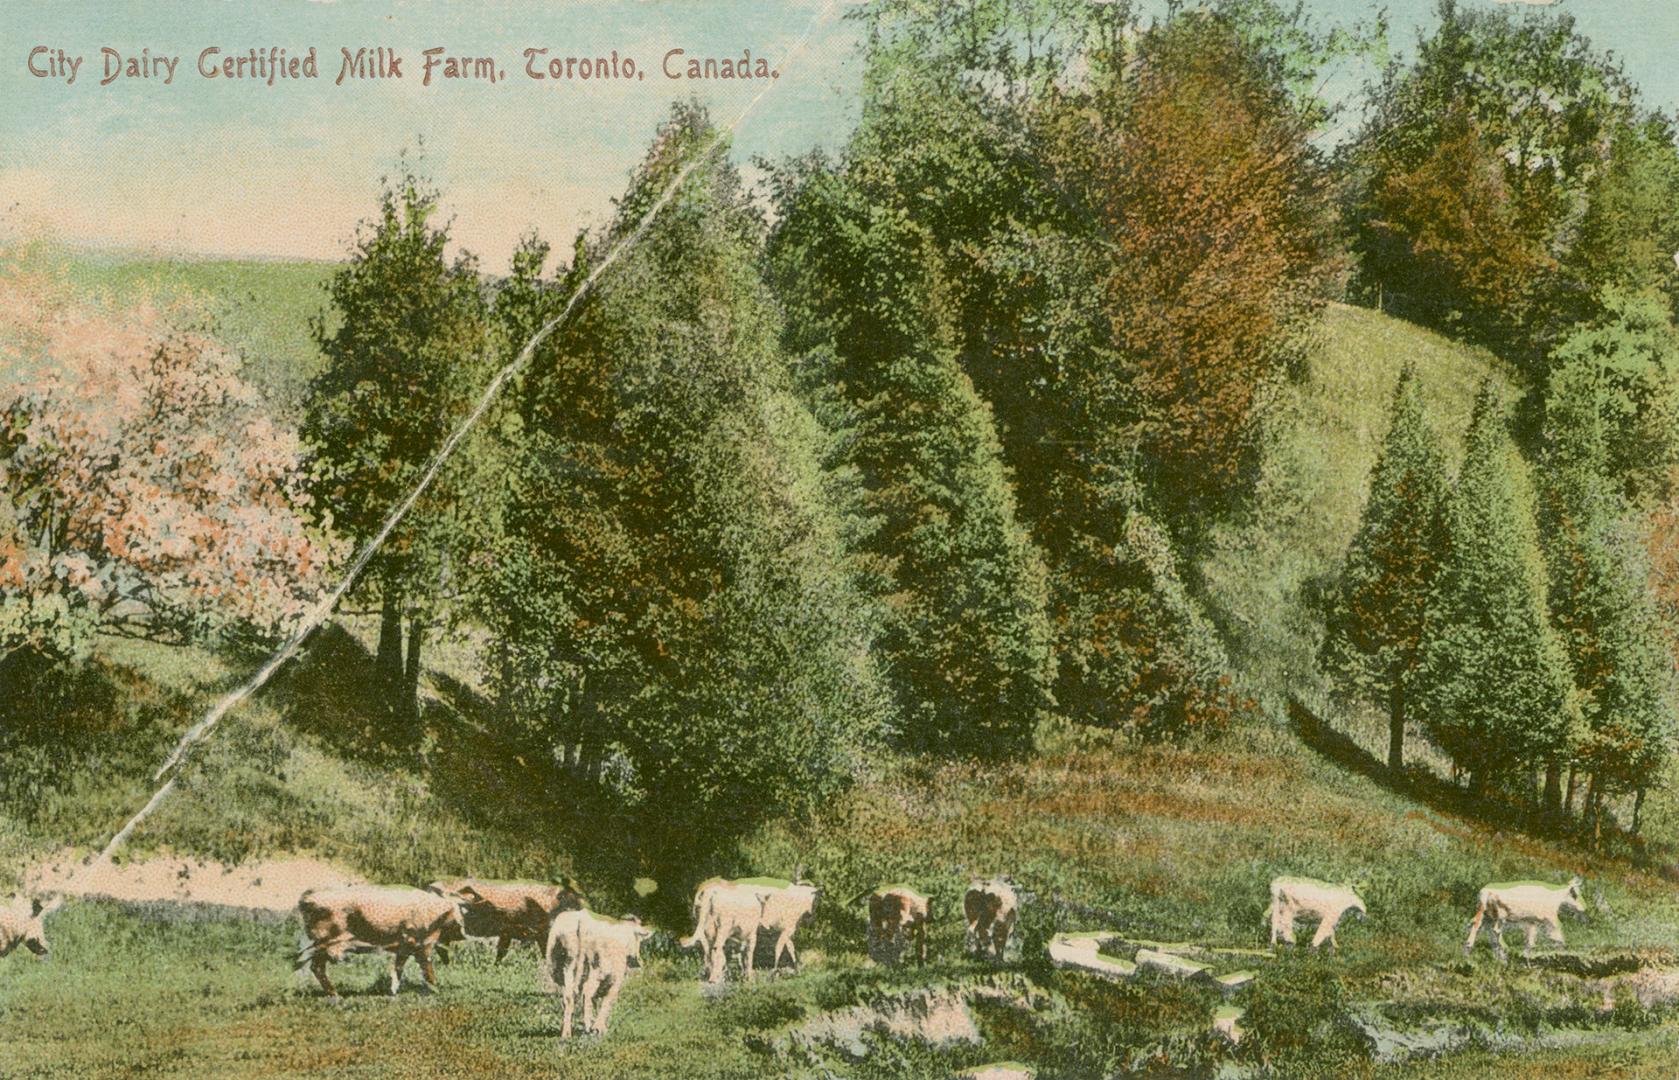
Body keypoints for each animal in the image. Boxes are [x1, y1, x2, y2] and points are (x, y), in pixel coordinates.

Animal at [293, 880, 466, 1001]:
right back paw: (333, 994)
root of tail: (307, 897)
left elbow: (398, 969)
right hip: (326, 942)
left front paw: (393, 992)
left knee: (313, 966)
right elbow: (427, 968)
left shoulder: (405, 946)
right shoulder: (423, 944)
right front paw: (435, 990)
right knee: (309, 964)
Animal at [550, 913, 654, 1041]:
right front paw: (599, 1027)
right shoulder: (616, 981)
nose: (637, 961)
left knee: (568, 997)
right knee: (587, 992)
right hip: (596, 969)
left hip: (567, 966)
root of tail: (582, 921)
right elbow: (607, 1000)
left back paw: (566, 1033)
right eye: (639, 939)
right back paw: (588, 1026)